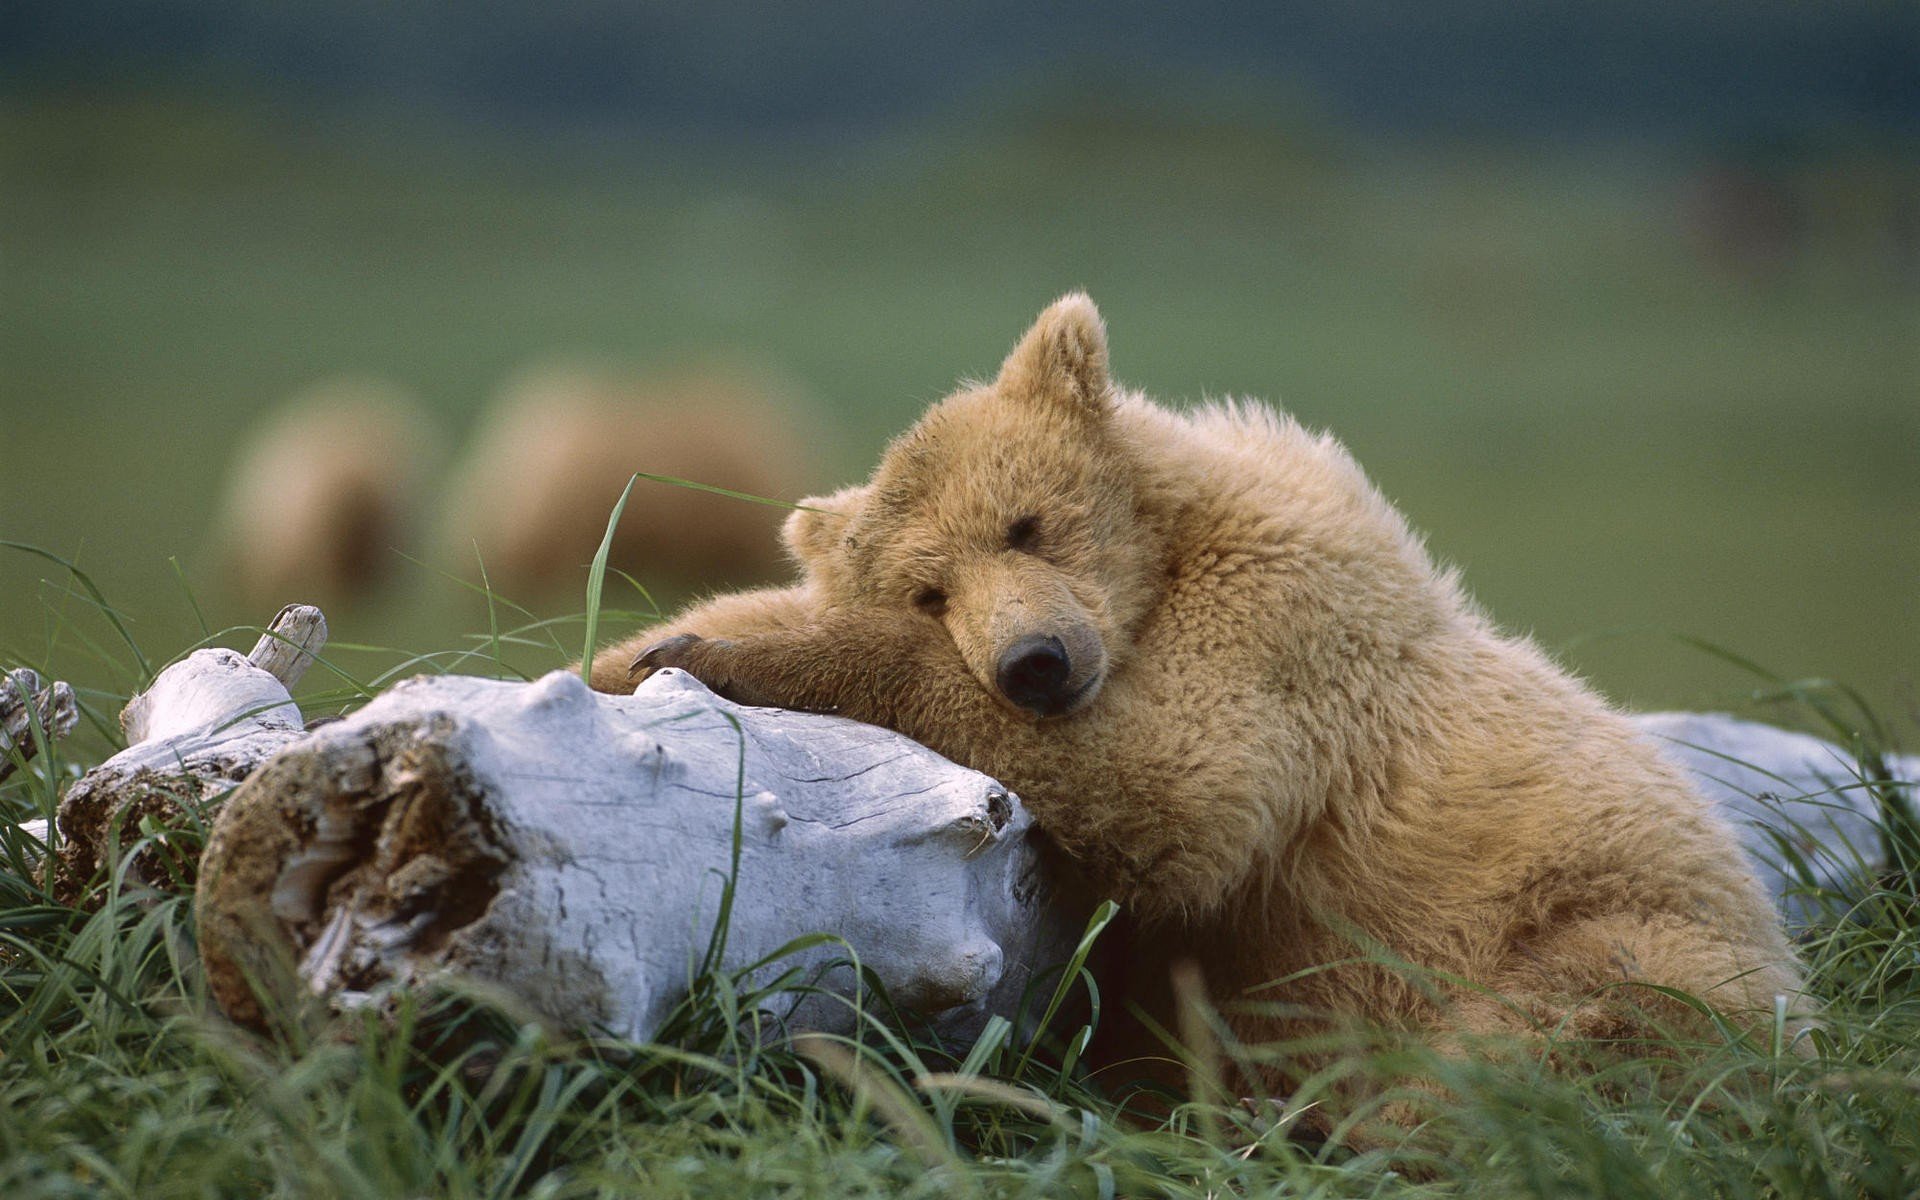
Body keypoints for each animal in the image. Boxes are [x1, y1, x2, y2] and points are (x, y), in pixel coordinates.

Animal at [592, 294, 1804, 1106]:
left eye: (1026, 524)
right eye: (931, 588)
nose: (1034, 663)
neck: (1168, 556)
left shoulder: (1282, 628)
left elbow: (1175, 781)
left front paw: (727, 655)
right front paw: (644, 647)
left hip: (1613, 926)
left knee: (1558, 1036)